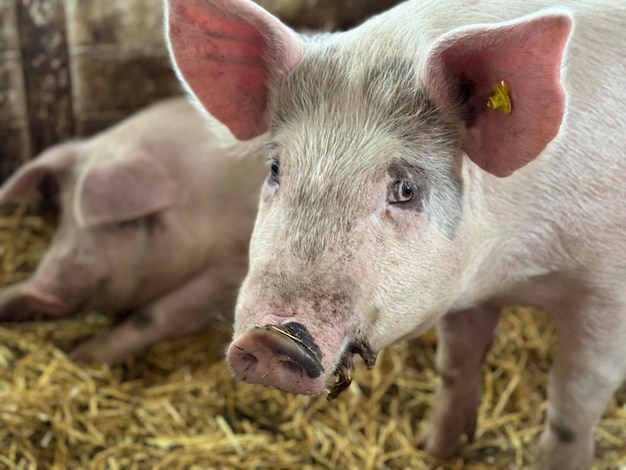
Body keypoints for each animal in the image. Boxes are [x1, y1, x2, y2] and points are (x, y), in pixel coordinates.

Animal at [0, 96, 266, 364]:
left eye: (123, 222)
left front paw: (81, 356)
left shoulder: (228, 270)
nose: (37, 293)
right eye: (64, 212)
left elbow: (154, 315)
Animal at [166, 0, 624, 468]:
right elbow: (456, 364)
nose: (269, 339)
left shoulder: (606, 295)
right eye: (276, 168)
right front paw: (435, 449)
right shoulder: (462, 289)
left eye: (405, 189)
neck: (513, 268)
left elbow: (572, 404)